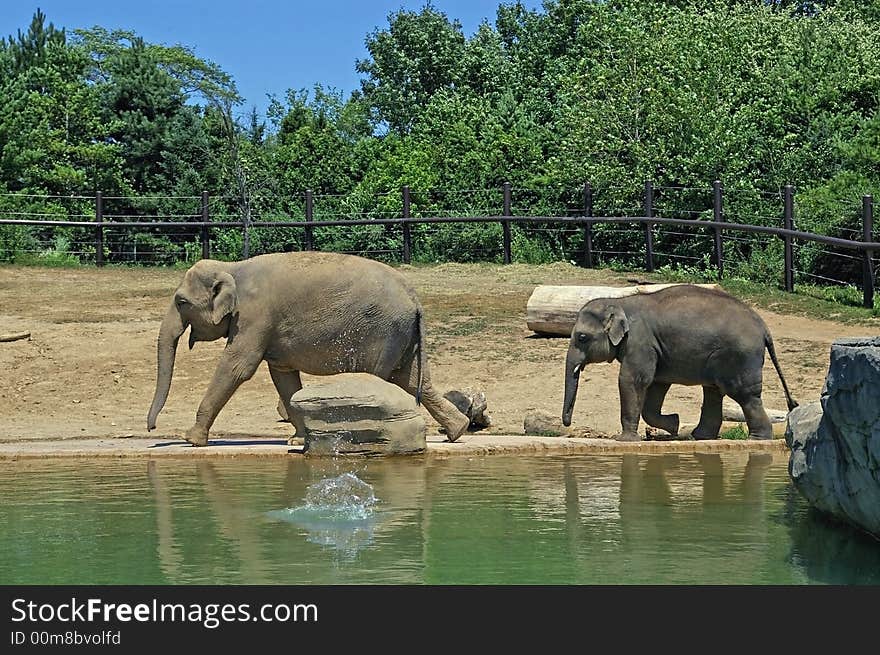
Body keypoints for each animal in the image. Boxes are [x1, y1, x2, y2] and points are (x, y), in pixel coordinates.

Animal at [148, 251, 470, 446]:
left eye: (181, 302)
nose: (151, 429)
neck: (232, 268)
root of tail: (415, 299)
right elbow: (282, 375)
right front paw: (298, 441)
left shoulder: (253, 317)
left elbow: (238, 367)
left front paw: (192, 439)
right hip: (402, 335)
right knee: (413, 379)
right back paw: (459, 430)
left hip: (383, 332)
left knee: (380, 378)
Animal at [564, 286, 796, 440]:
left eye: (582, 337)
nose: (567, 423)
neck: (621, 302)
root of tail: (764, 328)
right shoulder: (655, 349)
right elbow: (656, 385)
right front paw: (674, 424)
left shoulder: (640, 343)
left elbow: (633, 380)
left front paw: (625, 441)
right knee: (713, 392)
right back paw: (700, 436)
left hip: (740, 358)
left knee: (745, 395)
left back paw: (756, 439)